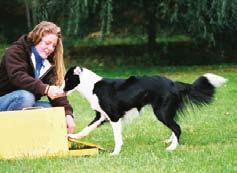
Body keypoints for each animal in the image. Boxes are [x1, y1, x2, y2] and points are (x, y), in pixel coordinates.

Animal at [64, 66, 227, 155]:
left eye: (66, 79)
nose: (60, 88)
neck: (92, 86)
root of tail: (173, 83)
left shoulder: (114, 116)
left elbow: (117, 137)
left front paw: (115, 153)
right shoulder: (101, 116)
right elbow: (86, 128)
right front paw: (73, 136)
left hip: (161, 112)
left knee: (177, 127)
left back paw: (172, 148)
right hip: (166, 112)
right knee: (174, 127)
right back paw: (171, 142)